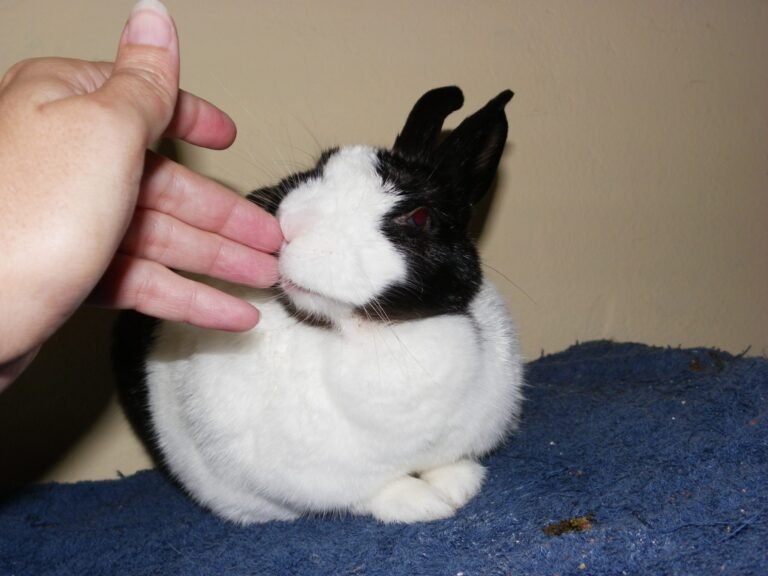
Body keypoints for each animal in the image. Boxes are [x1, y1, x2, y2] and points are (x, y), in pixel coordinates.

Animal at [112, 86, 524, 524]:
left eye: (418, 217)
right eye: (321, 166)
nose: (293, 225)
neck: (371, 331)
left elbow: (449, 462)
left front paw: (460, 485)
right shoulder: (317, 480)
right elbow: (370, 492)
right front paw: (425, 504)